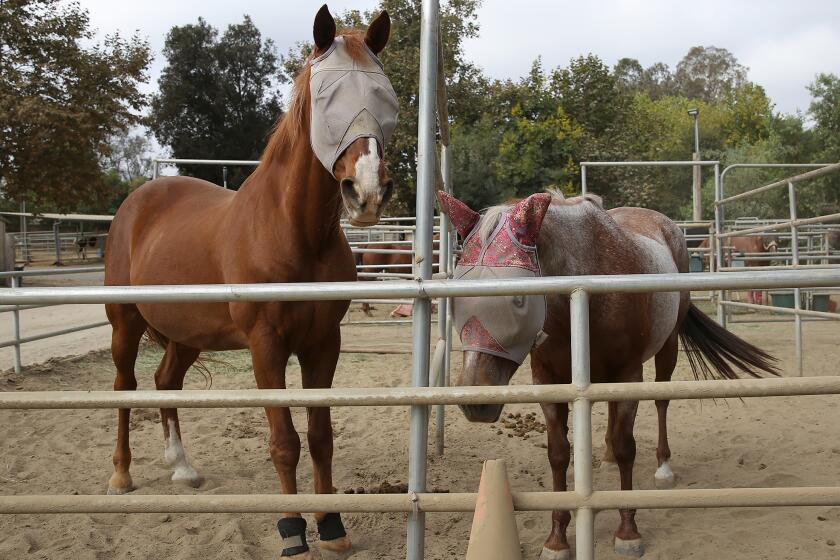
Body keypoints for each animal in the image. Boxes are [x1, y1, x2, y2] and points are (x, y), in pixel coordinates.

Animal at [101, 6, 398, 556]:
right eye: (325, 97)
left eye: (384, 96)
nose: (366, 192)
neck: (291, 230)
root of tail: (138, 200)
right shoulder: (266, 346)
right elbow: (284, 442)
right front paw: (292, 529)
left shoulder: (323, 343)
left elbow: (320, 436)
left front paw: (332, 525)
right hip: (125, 325)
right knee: (125, 387)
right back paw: (121, 476)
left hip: (187, 335)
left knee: (165, 382)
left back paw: (183, 468)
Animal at [436, 191, 776, 556]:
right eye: (456, 300)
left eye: (518, 300)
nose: (477, 401)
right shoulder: (548, 379)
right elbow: (558, 454)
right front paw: (557, 538)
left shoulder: (629, 373)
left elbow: (628, 447)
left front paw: (628, 532)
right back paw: (609, 455)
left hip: (667, 348)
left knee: (661, 402)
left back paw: (663, 468)